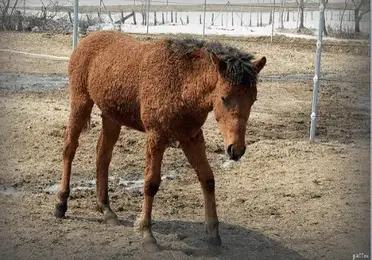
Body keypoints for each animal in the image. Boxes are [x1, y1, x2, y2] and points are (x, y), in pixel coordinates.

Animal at [54, 31, 264, 252]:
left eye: (253, 99)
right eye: (223, 97)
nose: (236, 149)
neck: (180, 82)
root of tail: (87, 39)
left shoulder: (192, 137)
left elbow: (207, 178)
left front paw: (214, 236)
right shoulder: (156, 136)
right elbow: (151, 183)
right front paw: (147, 235)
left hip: (111, 117)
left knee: (102, 154)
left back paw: (106, 209)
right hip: (80, 103)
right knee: (69, 148)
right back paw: (61, 203)